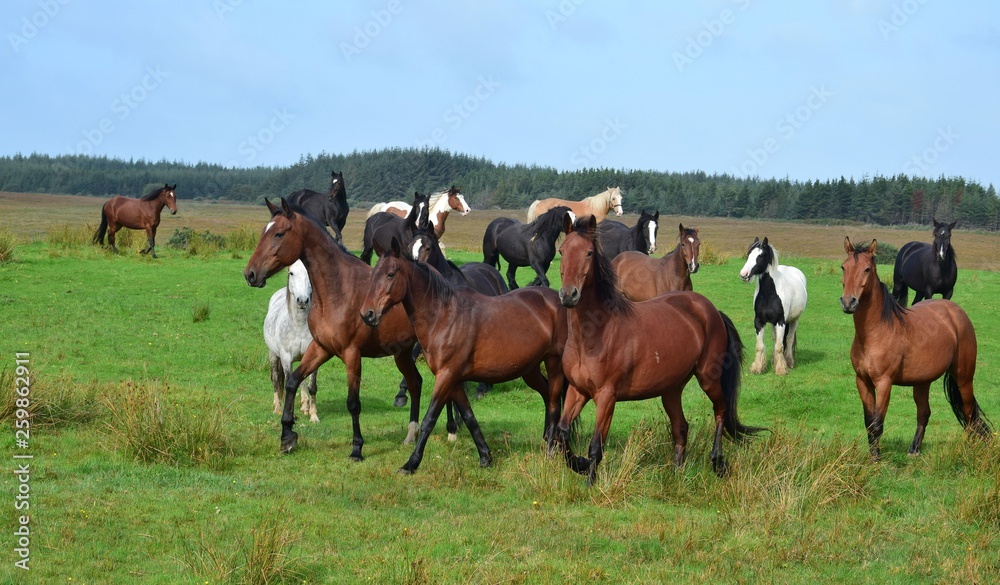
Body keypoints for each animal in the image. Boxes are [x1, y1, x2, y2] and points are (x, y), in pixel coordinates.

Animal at [264, 259, 320, 422]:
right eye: (291, 273)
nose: (302, 300)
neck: (299, 326)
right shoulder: (286, 358)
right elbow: (288, 384)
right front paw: (289, 415)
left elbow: (311, 386)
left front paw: (313, 415)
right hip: (273, 355)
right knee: (275, 378)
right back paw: (277, 407)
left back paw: (305, 406)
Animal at [360, 237, 568, 475]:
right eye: (373, 274)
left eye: (391, 274)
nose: (367, 314)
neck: (444, 317)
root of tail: (557, 302)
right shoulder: (454, 380)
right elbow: (469, 417)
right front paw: (485, 457)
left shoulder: (446, 376)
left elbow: (429, 419)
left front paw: (411, 463)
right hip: (530, 369)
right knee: (546, 396)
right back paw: (551, 442)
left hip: (554, 364)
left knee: (555, 405)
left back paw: (551, 451)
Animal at [553, 215, 760, 485]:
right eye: (562, 251)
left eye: (589, 252)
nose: (569, 295)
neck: (594, 334)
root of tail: (711, 310)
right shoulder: (577, 391)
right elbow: (562, 432)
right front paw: (578, 464)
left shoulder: (606, 396)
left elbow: (596, 446)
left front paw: (589, 481)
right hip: (671, 390)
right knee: (681, 428)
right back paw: (677, 475)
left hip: (708, 379)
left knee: (721, 411)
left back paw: (717, 462)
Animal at [739, 237, 808, 376]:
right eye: (749, 254)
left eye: (761, 255)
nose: (744, 274)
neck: (769, 294)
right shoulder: (759, 321)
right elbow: (760, 346)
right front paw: (757, 368)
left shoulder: (781, 321)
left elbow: (780, 346)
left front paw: (781, 369)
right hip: (772, 323)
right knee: (776, 338)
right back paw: (774, 361)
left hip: (794, 320)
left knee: (789, 339)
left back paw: (789, 362)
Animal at [840, 237, 990, 459]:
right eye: (844, 267)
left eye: (867, 269)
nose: (848, 302)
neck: (875, 333)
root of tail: (956, 312)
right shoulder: (863, 381)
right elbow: (869, 423)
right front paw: (872, 456)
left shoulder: (884, 383)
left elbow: (877, 423)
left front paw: (876, 460)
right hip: (922, 381)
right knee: (924, 413)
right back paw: (914, 450)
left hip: (963, 377)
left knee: (969, 411)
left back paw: (970, 450)